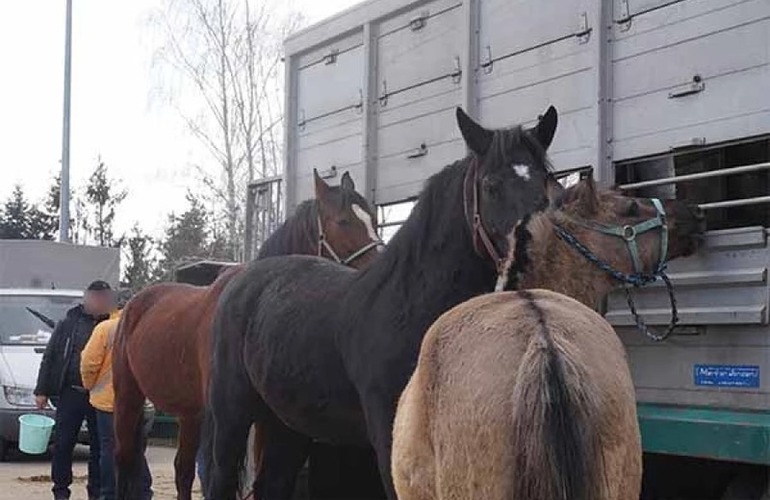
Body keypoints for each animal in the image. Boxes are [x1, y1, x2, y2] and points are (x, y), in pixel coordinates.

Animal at [112, 170, 382, 500]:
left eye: (373, 220)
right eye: (343, 221)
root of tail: (134, 304)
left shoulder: (269, 421)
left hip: (190, 415)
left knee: (183, 471)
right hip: (129, 396)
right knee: (124, 459)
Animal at [202, 105, 565, 500]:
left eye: (546, 181)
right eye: (490, 185)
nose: (538, 252)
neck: (410, 306)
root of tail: (242, 280)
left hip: (289, 421)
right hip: (232, 415)